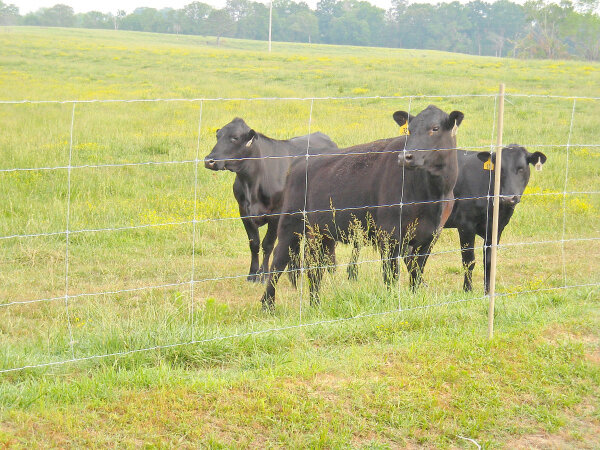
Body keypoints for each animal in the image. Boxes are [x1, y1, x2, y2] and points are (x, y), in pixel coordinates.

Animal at [205, 119, 338, 282]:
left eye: (235, 138)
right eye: (218, 136)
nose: (209, 161)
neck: (252, 184)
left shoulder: (276, 214)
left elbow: (267, 244)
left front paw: (264, 275)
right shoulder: (244, 212)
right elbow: (254, 244)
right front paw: (252, 274)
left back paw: (331, 269)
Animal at [258, 105, 464, 310]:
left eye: (435, 128)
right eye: (409, 130)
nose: (405, 157)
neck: (433, 195)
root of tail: (299, 162)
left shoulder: (430, 236)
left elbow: (416, 271)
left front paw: (413, 298)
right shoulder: (389, 234)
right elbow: (391, 274)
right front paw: (391, 301)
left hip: (320, 233)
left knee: (314, 269)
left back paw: (315, 305)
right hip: (290, 224)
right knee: (278, 262)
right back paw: (267, 305)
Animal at [446, 144, 548, 292]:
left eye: (521, 168)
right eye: (500, 169)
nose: (508, 198)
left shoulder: (497, 228)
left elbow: (489, 261)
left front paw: (488, 291)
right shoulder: (466, 224)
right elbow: (469, 260)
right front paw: (467, 290)